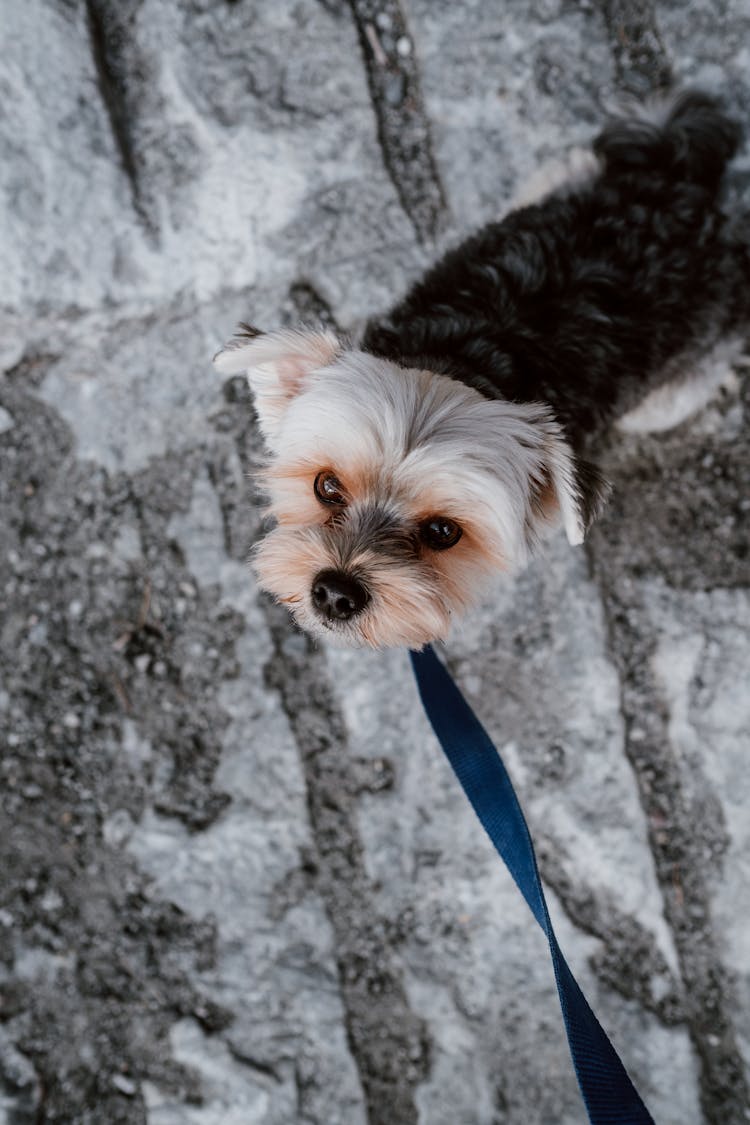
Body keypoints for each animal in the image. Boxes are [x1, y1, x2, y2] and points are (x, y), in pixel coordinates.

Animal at [213, 94, 746, 652]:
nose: (336, 594)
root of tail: (677, 186)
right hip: (560, 176)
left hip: (671, 392)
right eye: (326, 486)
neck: (460, 361)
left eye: (444, 533)